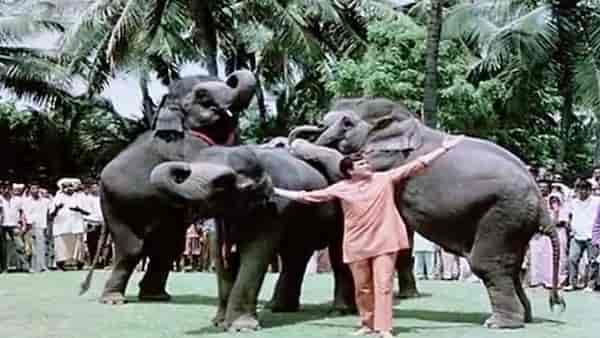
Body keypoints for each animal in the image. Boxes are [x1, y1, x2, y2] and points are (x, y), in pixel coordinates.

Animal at [78, 68, 256, 304]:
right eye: (202, 95)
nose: (233, 77)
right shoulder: (181, 145)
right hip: (116, 204)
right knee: (133, 249)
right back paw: (113, 299)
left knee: (167, 247)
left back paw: (155, 296)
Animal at [149, 145, 356, 330]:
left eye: (221, 183)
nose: (182, 169)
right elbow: (221, 256)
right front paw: (219, 323)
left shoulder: (273, 211)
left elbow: (255, 254)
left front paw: (241, 328)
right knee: (295, 255)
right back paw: (278, 308)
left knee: (338, 254)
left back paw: (339, 311)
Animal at [290, 97, 568, 328]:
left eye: (347, 122)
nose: (311, 128)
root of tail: (542, 203)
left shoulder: (385, 160)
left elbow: (341, 167)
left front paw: (298, 146)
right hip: (516, 221)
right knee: (511, 266)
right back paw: (524, 318)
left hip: (503, 214)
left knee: (488, 264)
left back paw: (499, 324)